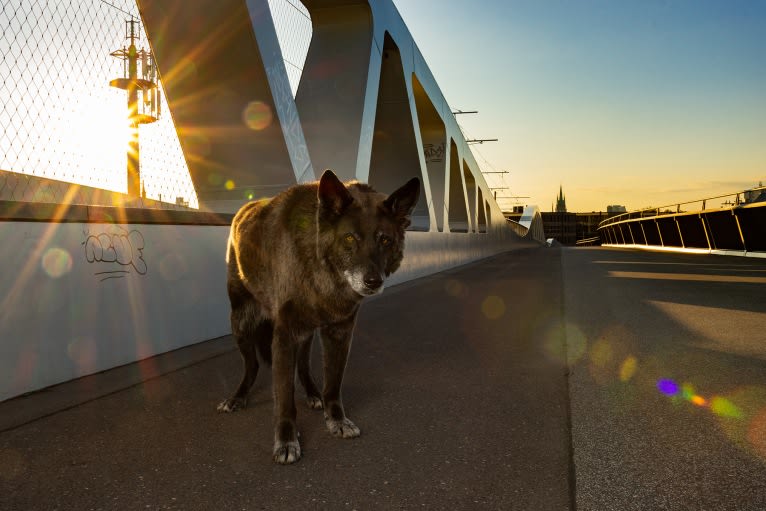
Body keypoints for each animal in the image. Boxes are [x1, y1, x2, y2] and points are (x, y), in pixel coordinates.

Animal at [218, 169, 420, 464]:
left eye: (385, 240)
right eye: (350, 238)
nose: (373, 282)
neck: (323, 275)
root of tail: (242, 210)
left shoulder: (339, 333)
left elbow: (333, 384)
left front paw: (336, 419)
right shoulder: (284, 335)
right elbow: (284, 397)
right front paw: (287, 440)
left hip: (304, 334)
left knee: (302, 365)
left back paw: (313, 394)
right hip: (241, 323)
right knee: (252, 364)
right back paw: (237, 397)